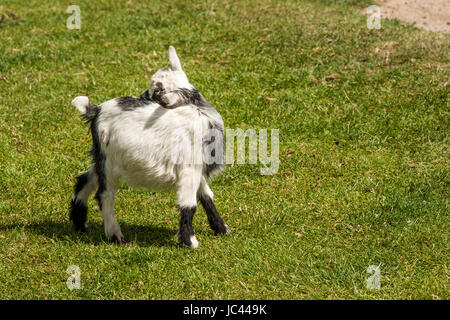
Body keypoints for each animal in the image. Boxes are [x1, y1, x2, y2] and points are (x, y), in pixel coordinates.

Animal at [71, 47, 232, 248]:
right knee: (104, 194)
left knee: (84, 180)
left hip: (101, 157)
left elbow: (206, 195)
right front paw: (189, 242)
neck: (199, 111)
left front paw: (222, 229)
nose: (142, 97)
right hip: (109, 164)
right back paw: (115, 235)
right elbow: (189, 204)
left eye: (154, 89)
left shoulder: (197, 169)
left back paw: (79, 224)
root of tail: (95, 110)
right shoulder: (189, 169)